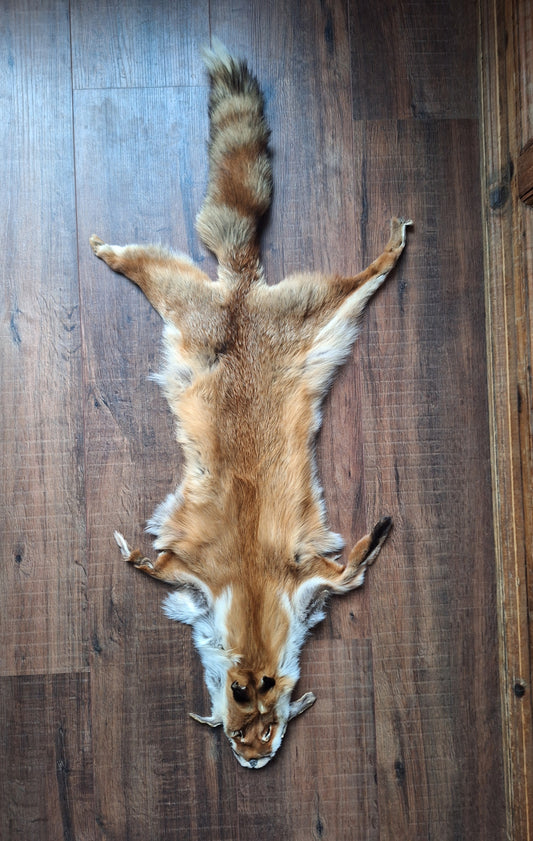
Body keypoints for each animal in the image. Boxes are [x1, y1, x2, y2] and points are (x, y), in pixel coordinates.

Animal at [90, 41, 411, 769]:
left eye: (265, 716)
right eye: (243, 719)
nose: (254, 759)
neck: (253, 588)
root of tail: (239, 293)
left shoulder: (297, 576)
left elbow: (348, 570)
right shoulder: (209, 571)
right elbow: (149, 561)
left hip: (313, 316)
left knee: (359, 276)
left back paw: (389, 248)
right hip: (201, 305)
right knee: (148, 260)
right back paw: (107, 249)